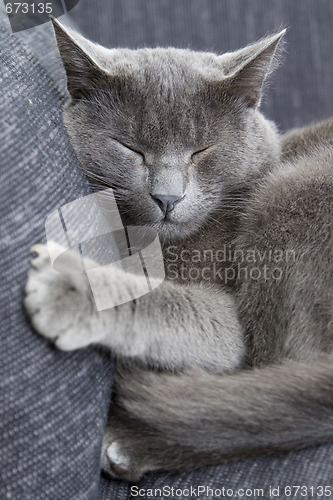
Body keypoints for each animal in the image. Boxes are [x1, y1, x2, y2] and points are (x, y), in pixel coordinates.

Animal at [24, 18, 332, 480]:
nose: (167, 197)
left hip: (291, 191)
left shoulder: (230, 323)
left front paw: (71, 287)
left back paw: (128, 446)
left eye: (201, 151)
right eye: (130, 147)